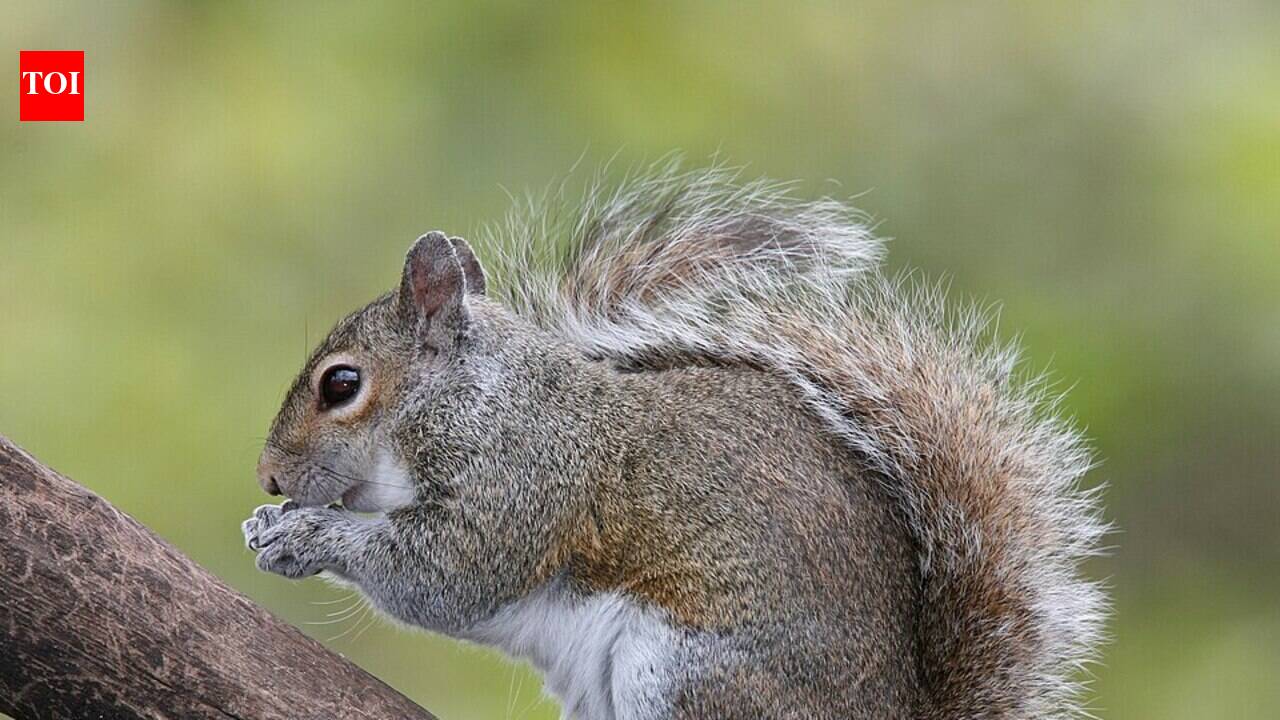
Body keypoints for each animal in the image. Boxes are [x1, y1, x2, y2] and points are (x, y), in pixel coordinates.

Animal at [242, 166, 1106, 720]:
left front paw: (305, 536)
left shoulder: (521, 482)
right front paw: (269, 527)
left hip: (685, 678)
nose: (268, 477)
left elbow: (442, 574)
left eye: (341, 386)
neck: (474, 399)